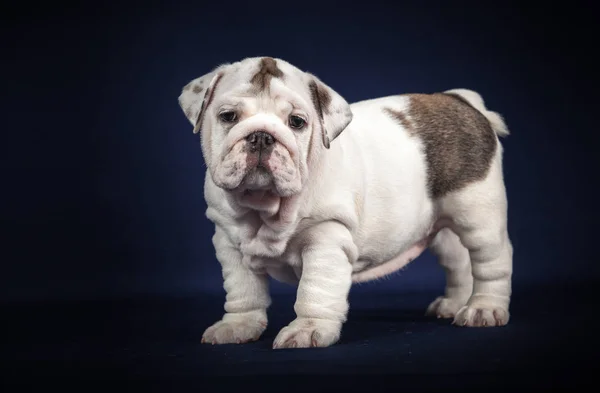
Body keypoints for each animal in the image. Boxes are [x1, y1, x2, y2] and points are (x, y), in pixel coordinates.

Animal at [176, 56, 512, 348]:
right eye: (228, 117)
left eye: (297, 122)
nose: (261, 136)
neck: (266, 206)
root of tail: (462, 101)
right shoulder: (229, 243)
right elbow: (243, 290)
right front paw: (238, 326)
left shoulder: (325, 240)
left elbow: (315, 290)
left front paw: (308, 330)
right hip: (441, 225)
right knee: (459, 260)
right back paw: (454, 303)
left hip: (478, 215)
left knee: (491, 261)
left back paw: (483, 308)